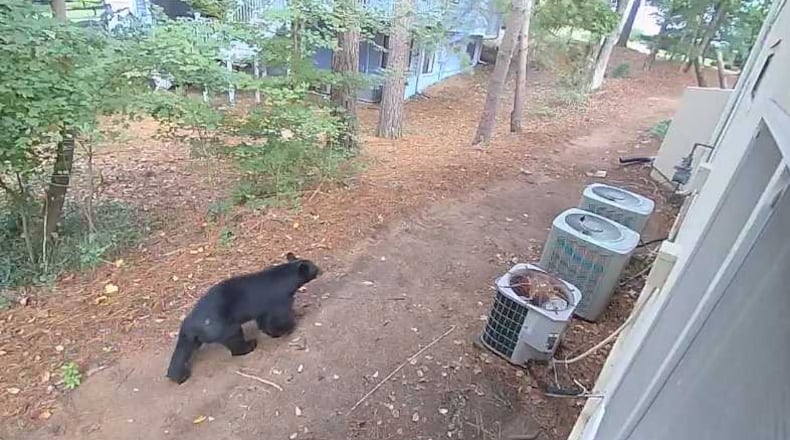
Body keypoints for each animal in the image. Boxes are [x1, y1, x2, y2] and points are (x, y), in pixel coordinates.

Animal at [166, 252, 321, 384]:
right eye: (313, 267)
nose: (320, 269)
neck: (285, 278)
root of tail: (190, 324)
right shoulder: (279, 302)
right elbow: (278, 319)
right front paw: (288, 328)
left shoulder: (262, 310)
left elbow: (264, 322)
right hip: (224, 326)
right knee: (235, 341)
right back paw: (250, 344)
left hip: (191, 339)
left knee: (182, 352)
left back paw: (178, 375)